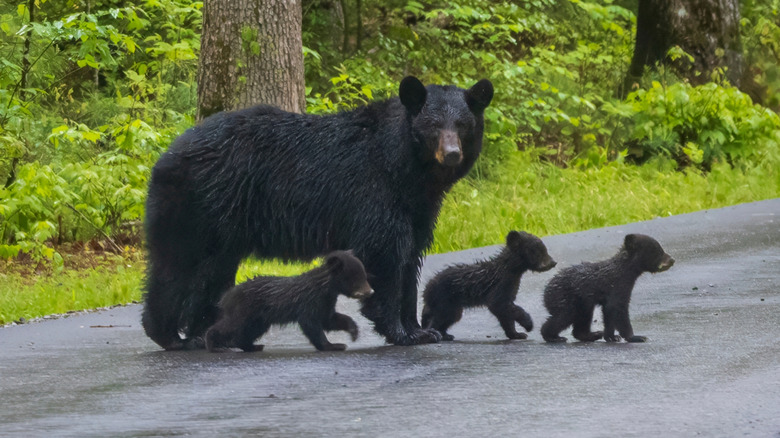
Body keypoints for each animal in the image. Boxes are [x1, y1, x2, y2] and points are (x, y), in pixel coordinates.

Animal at [205, 251, 373, 352]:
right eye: (356, 278)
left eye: (364, 275)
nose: (370, 292)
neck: (324, 287)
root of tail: (226, 296)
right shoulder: (309, 301)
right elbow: (311, 324)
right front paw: (332, 345)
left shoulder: (326, 302)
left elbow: (329, 319)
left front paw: (353, 332)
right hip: (245, 310)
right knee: (231, 325)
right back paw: (213, 344)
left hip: (259, 318)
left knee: (249, 331)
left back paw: (253, 346)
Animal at [421, 230, 557, 341]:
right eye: (538, 251)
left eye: (544, 249)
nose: (553, 262)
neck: (510, 270)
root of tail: (426, 290)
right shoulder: (500, 286)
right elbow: (498, 304)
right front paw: (528, 324)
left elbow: (505, 314)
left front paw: (516, 334)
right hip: (444, 299)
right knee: (439, 317)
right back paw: (435, 333)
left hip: (452, 305)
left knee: (450, 317)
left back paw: (445, 334)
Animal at [540, 234, 674, 343]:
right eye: (658, 251)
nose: (672, 260)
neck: (625, 271)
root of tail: (545, 291)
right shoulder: (618, 286)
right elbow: (618, 308)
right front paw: (636, 337)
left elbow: (609, 312)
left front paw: (611, 336)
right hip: (564, 298)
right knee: (564, 315)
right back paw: (553, 337)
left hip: (582, 302)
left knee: (583, 317)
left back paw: (592, 334)